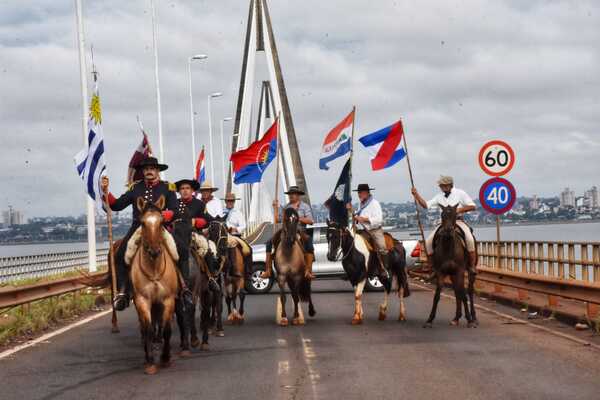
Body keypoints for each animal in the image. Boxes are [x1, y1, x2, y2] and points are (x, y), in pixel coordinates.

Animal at [130, 195, 179, 374]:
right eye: (143, 223)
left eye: (161, 222)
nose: (154, 251)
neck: (154, 269)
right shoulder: (142, 300)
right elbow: (149, 329)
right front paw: (150, 361)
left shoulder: (168, 299)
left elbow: (166, 329)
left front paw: (165, 357)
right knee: (145, 329)